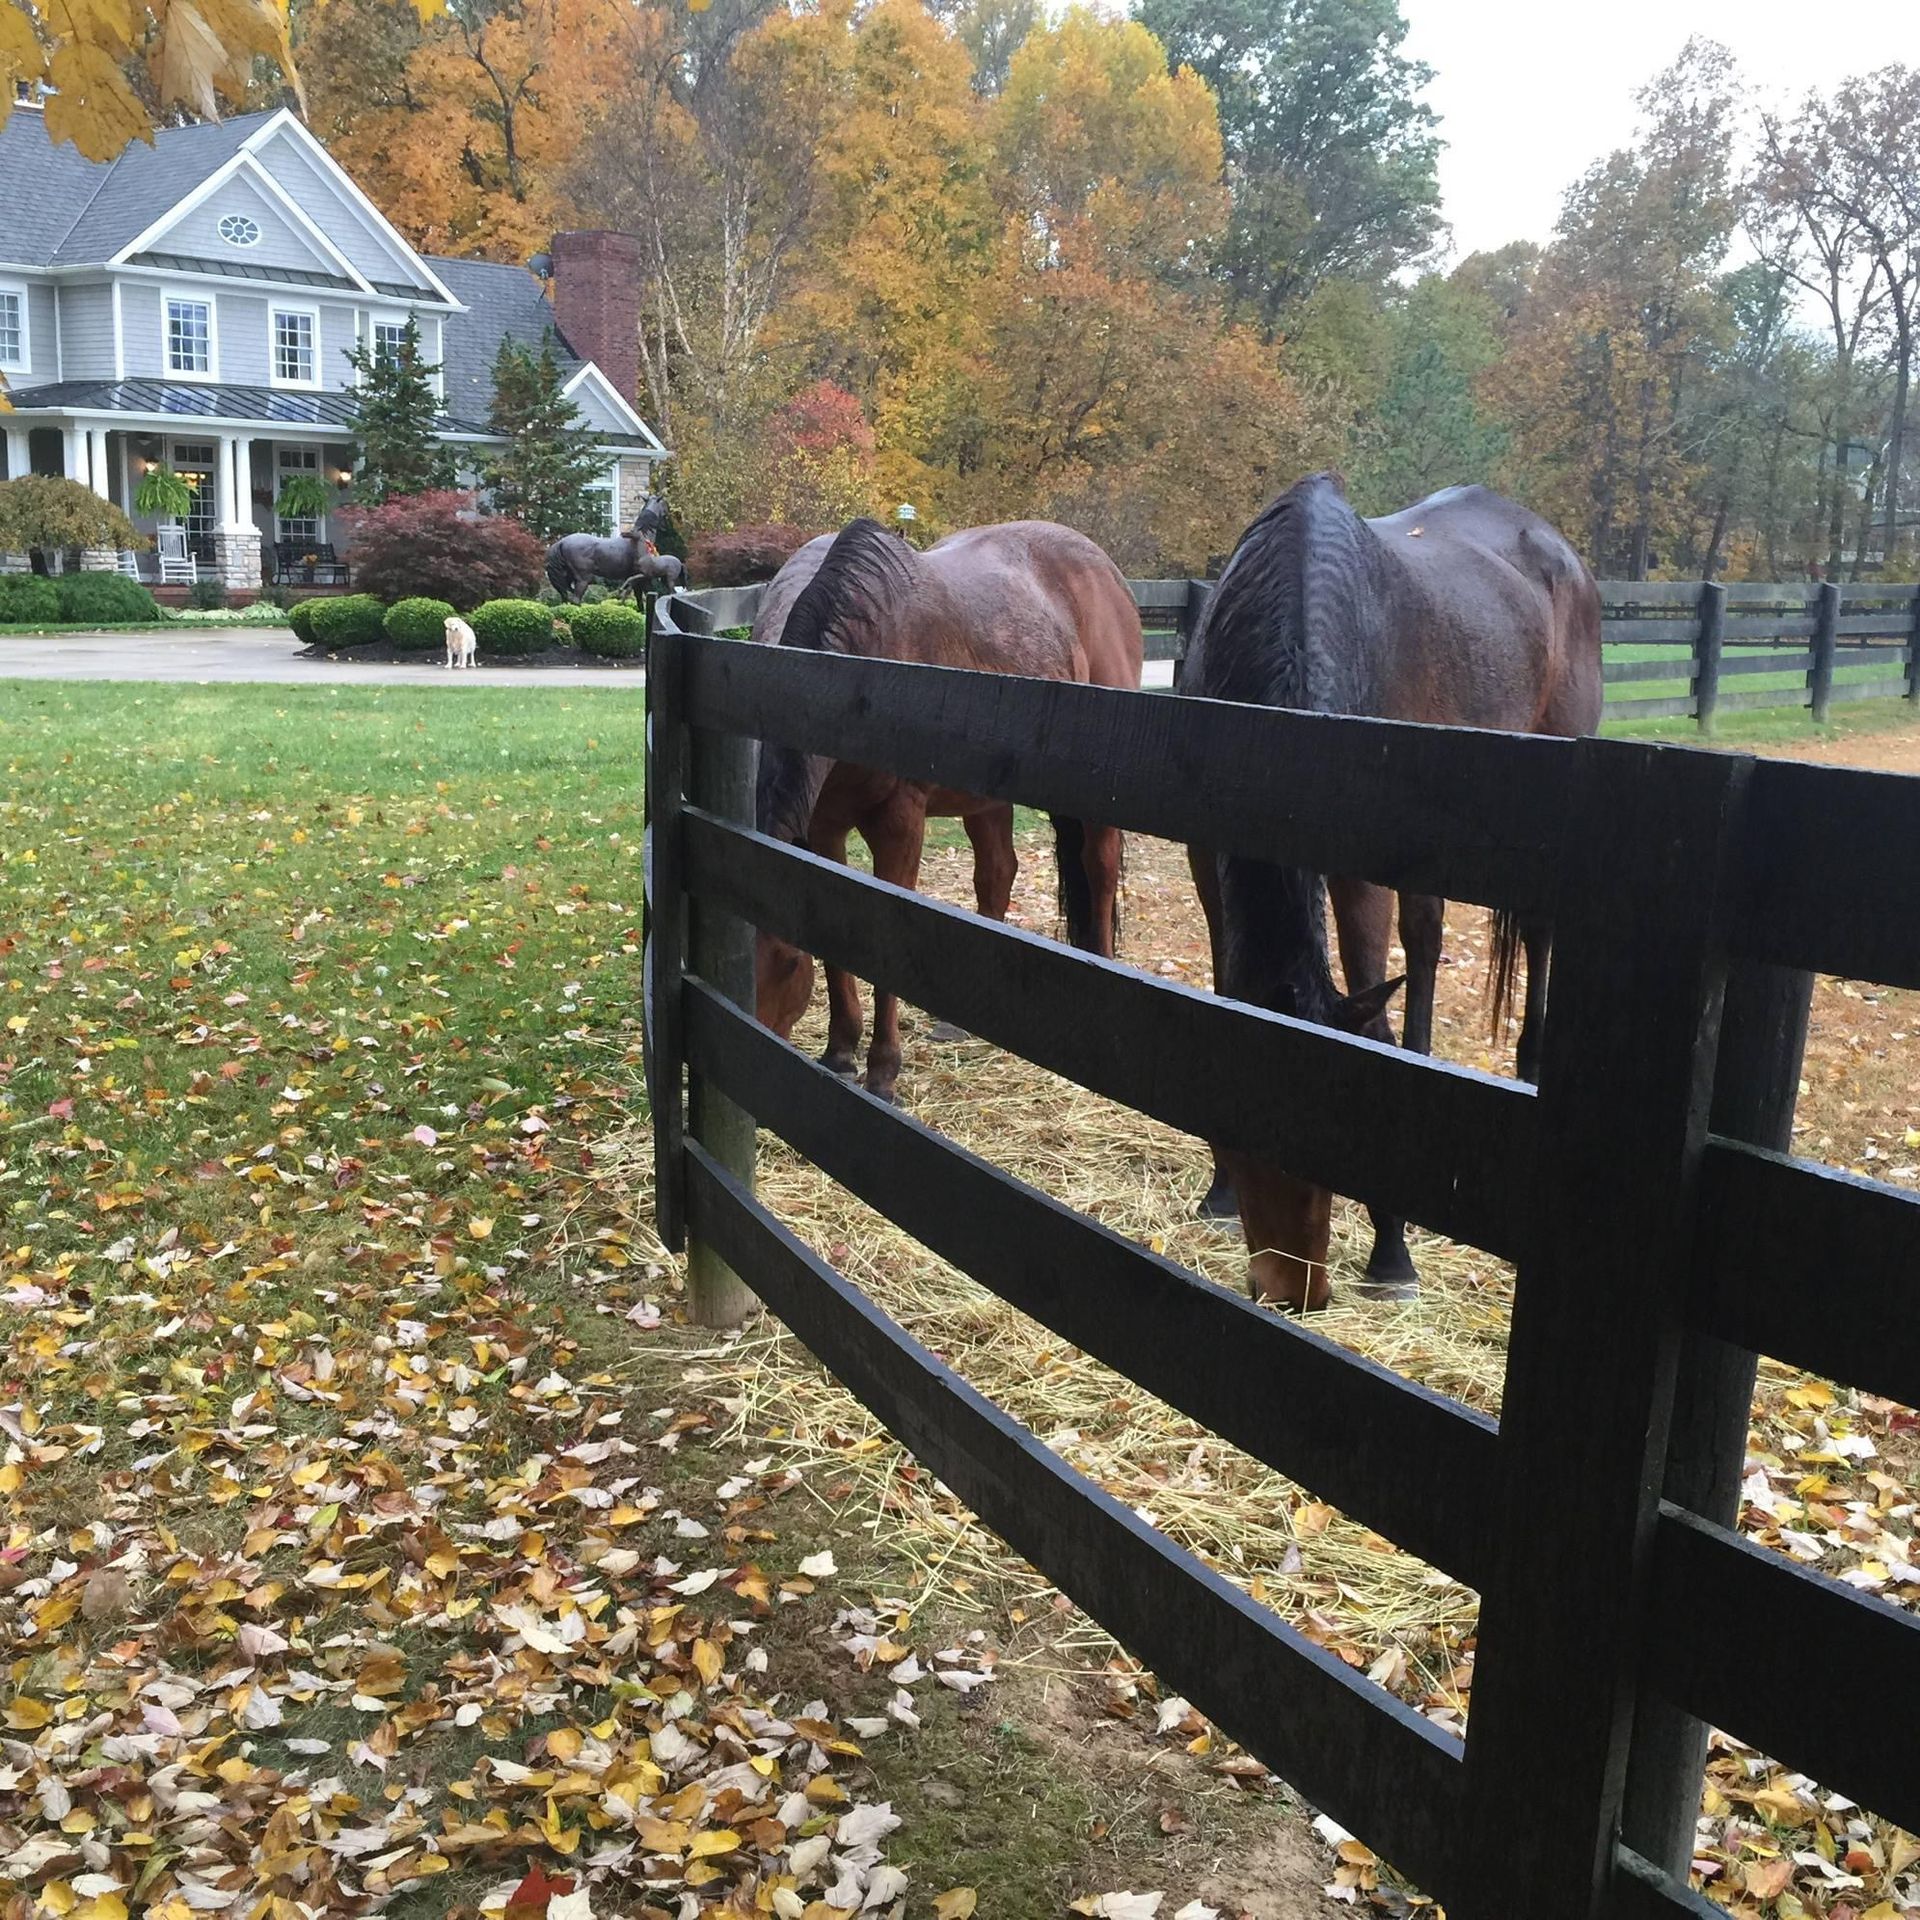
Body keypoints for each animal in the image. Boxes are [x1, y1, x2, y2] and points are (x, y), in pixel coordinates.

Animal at [748, 518, 1136, 1105]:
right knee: (998, 874)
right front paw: (840, 1051)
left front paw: (883, 1071)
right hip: (987, 801)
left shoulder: (899, 823)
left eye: (790, 962)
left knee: (1101, 865)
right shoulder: (825, 828)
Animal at [1182, 478, 1605, 1313]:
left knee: (1518, 936)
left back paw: (1529, 1069)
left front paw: (1391, 1251)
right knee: (1432, 942)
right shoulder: (1206, 858)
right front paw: (1217, 1191)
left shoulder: (1360, 879)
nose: (1293, 1294)